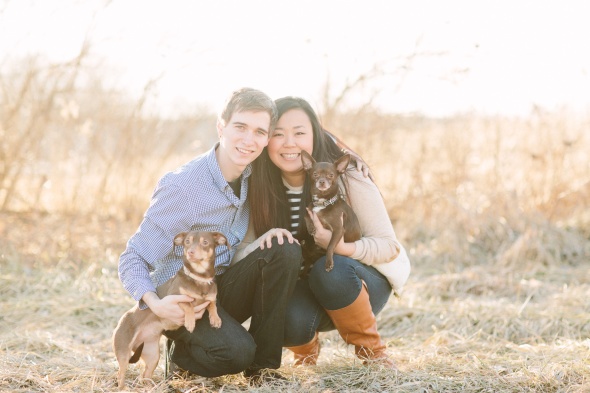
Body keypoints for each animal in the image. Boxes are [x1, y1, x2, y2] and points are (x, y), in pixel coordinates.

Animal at [112, 230, 228, 388]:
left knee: (144, 376)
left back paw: (152, 388)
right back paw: (124, 387)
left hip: (153, 354)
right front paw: (190, 322)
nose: (190, 252)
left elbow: (211, 303)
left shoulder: (210, 297)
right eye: (187, 242)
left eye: (205, 242)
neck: (199, 278)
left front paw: (215, 319)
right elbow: (189, 304)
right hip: (124, 352)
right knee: (120, 374)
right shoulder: (174, 297)